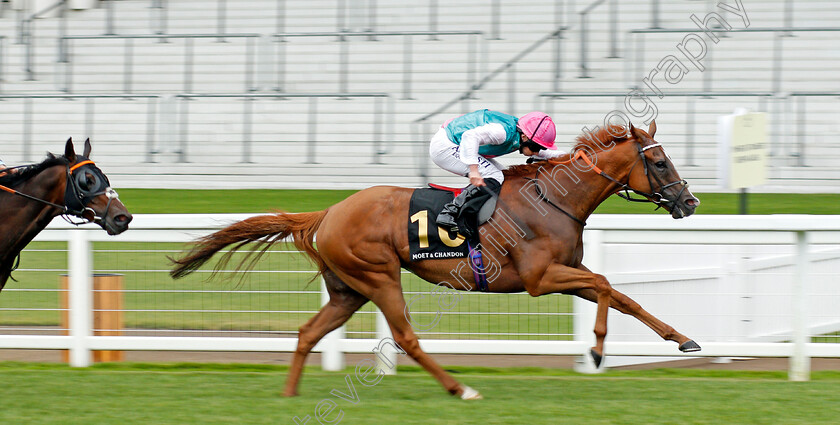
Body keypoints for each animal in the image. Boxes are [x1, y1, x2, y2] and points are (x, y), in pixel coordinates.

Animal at [171, 121, 704, 400]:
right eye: (660, 162)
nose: (690, 201)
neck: (554, 198)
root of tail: (330, 210)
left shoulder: (568, 272)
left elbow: (621, 295)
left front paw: (683, 339)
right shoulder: (540, 277)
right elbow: (607, 287)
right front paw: (595, 349)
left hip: (347, 290)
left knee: (307, 332)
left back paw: (288, 395)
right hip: (378, 276)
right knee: (406, 338)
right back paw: (460, 389)